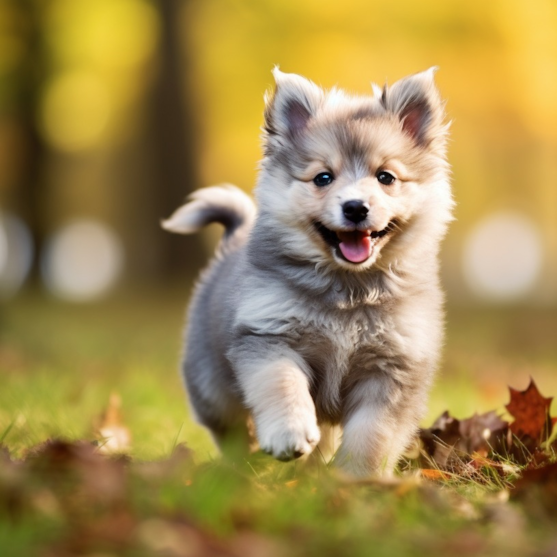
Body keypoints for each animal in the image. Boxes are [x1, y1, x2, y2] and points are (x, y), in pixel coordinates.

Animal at [161, 68, 452, 478]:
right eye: (323, 178)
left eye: (386, 177)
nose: (355, 207)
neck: (348, 290)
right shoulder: (269, 338)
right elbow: (282, 384)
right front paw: (289, 434)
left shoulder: (393, 369)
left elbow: (373, 435)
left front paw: (356, 479)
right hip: (212, 386)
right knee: (231, 430)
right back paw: (244, 468)